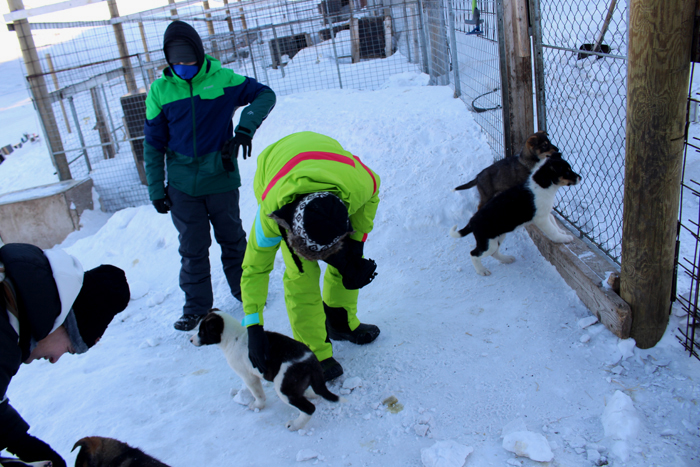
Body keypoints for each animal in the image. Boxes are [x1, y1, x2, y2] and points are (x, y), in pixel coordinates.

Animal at [190, 310, 340, 431]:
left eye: (202, 332)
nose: (191, 340)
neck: (234, 338)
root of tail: (311, 362)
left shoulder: (248, 376)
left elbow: (258, 394)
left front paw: (257, 405)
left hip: (284, 388)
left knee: (309, 408)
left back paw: (295, 425)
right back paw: (309, 393)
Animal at [450, 154, 581, 276]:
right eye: (567, 171)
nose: (580, 177)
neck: (542, 185)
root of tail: (472, 222)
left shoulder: (546, 212)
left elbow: (554, 222)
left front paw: (562, 232)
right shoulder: (541, 218)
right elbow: (552, 231)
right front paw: (564, 238)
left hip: (498, 237)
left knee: (494, 253)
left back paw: (506, 259)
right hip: (487, 243)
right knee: (474, 254)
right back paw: (482, 271)